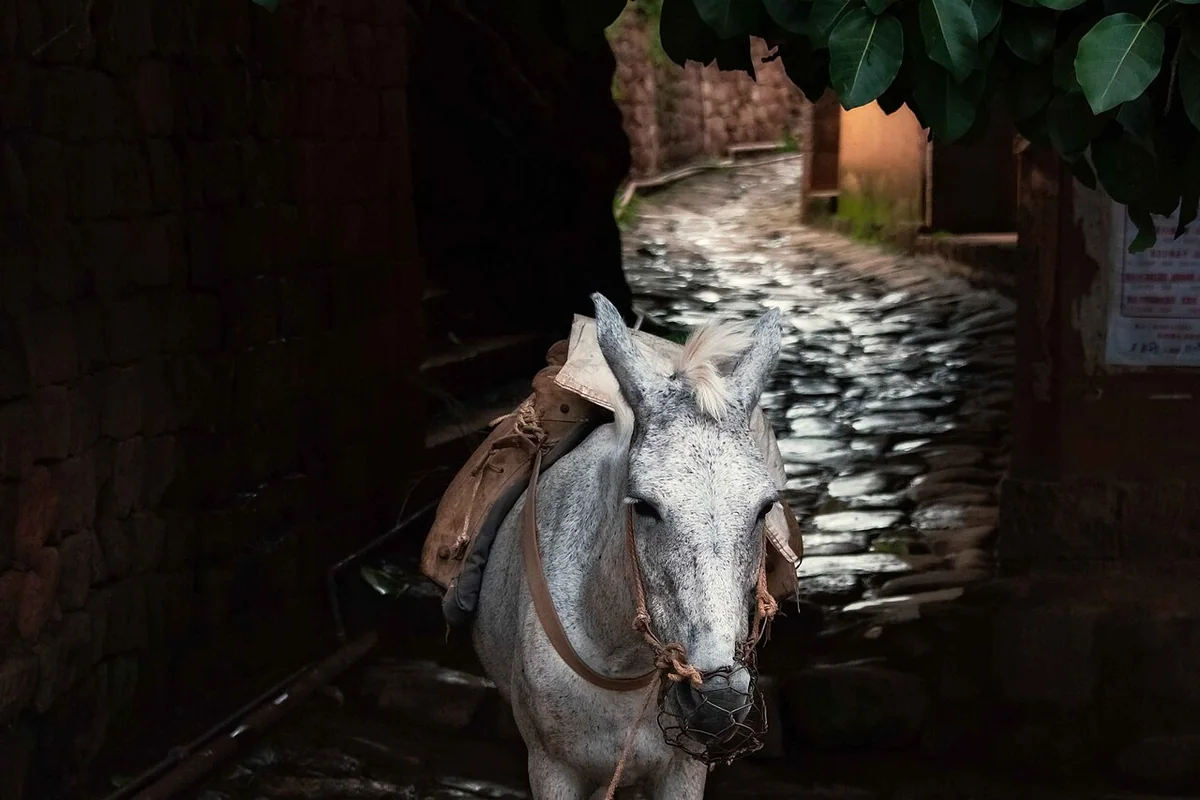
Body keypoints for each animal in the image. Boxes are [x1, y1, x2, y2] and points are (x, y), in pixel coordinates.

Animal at [472, 293, 784, 799]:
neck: (621, 661)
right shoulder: (551, 768)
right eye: (643, 506)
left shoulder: (683, 771)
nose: (716, 701)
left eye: (765, 507)